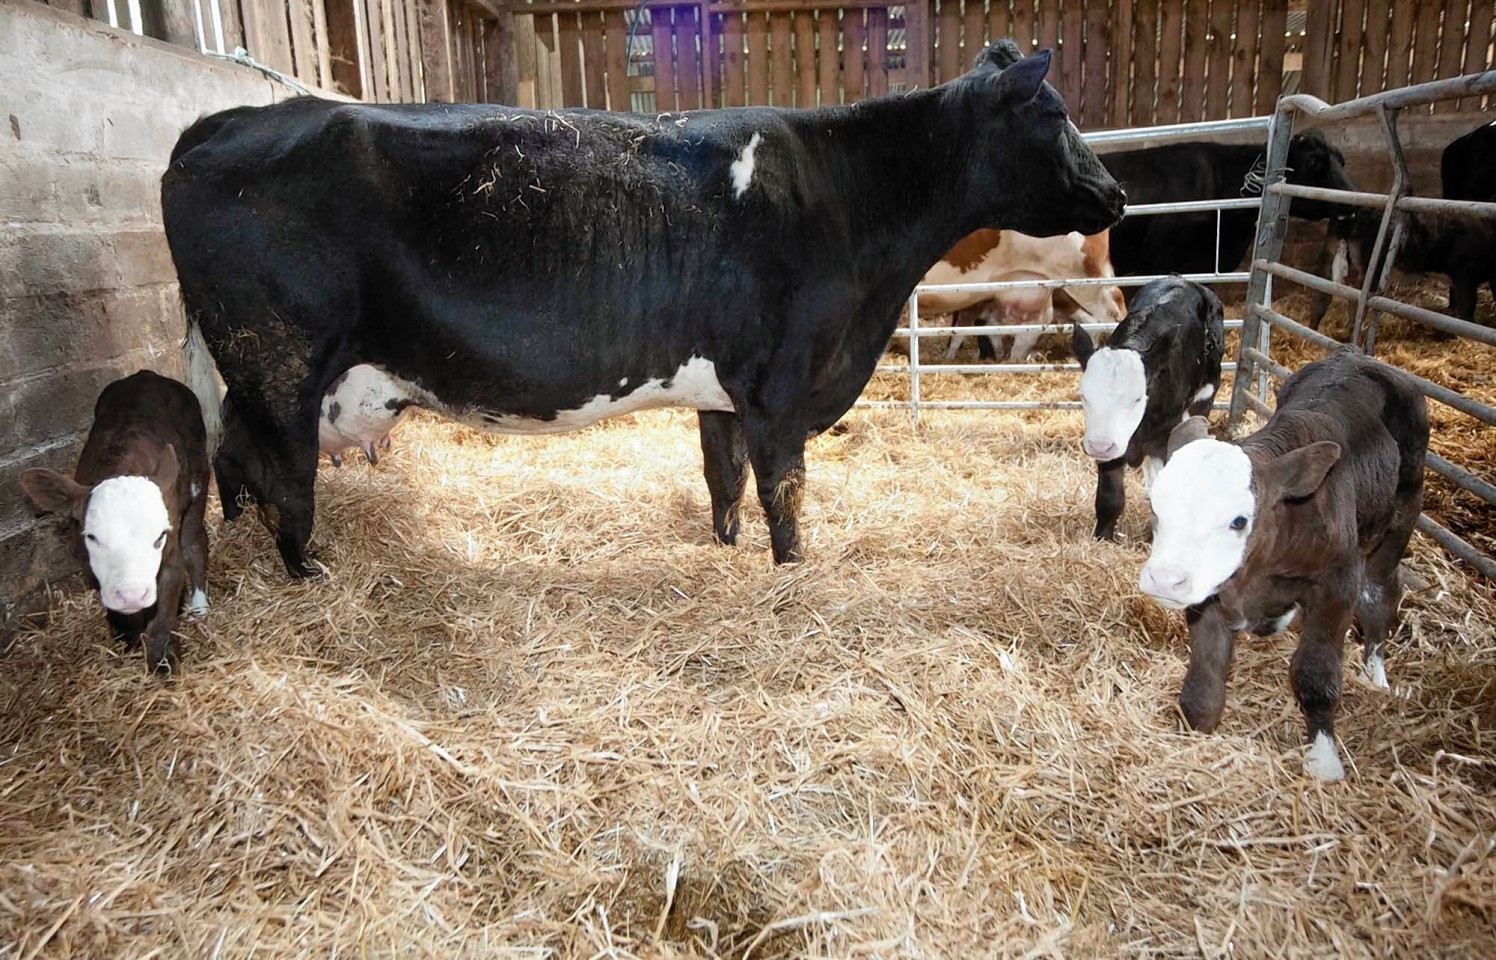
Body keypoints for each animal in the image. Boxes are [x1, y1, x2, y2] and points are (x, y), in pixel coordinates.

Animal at [163, 41, 1124, 571]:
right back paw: (309, 571)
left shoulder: (726, 392)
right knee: (283, 478)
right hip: (277, 360)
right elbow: (785, 493)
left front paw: (727, 554)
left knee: (234, 457)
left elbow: (724, 482)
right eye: (1054, 111)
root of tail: (218, 123)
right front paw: (792, 573)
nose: (1115, 195)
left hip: (250, 371)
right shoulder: (782, 385)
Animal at [1071, 276, 1220, 538]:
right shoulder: (1114, 445)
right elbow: (1109, 496)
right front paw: (1103, 536)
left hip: (1205, 396)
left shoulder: (1164, 437)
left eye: (1137, 399)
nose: (1099, 445)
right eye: (1084, 396)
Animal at [1136, 346, 1430, 783]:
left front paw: (1324, 760)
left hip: (1397, 523)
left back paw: (1375, 673)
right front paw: (1192, 734)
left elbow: (1315, 673)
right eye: (1156, 507)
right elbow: (1205, 676)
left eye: (1239, 520)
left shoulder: (1338, 585)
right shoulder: (1211, 592)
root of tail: (1353, 355)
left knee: (1381, 595)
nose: (1164, 580)